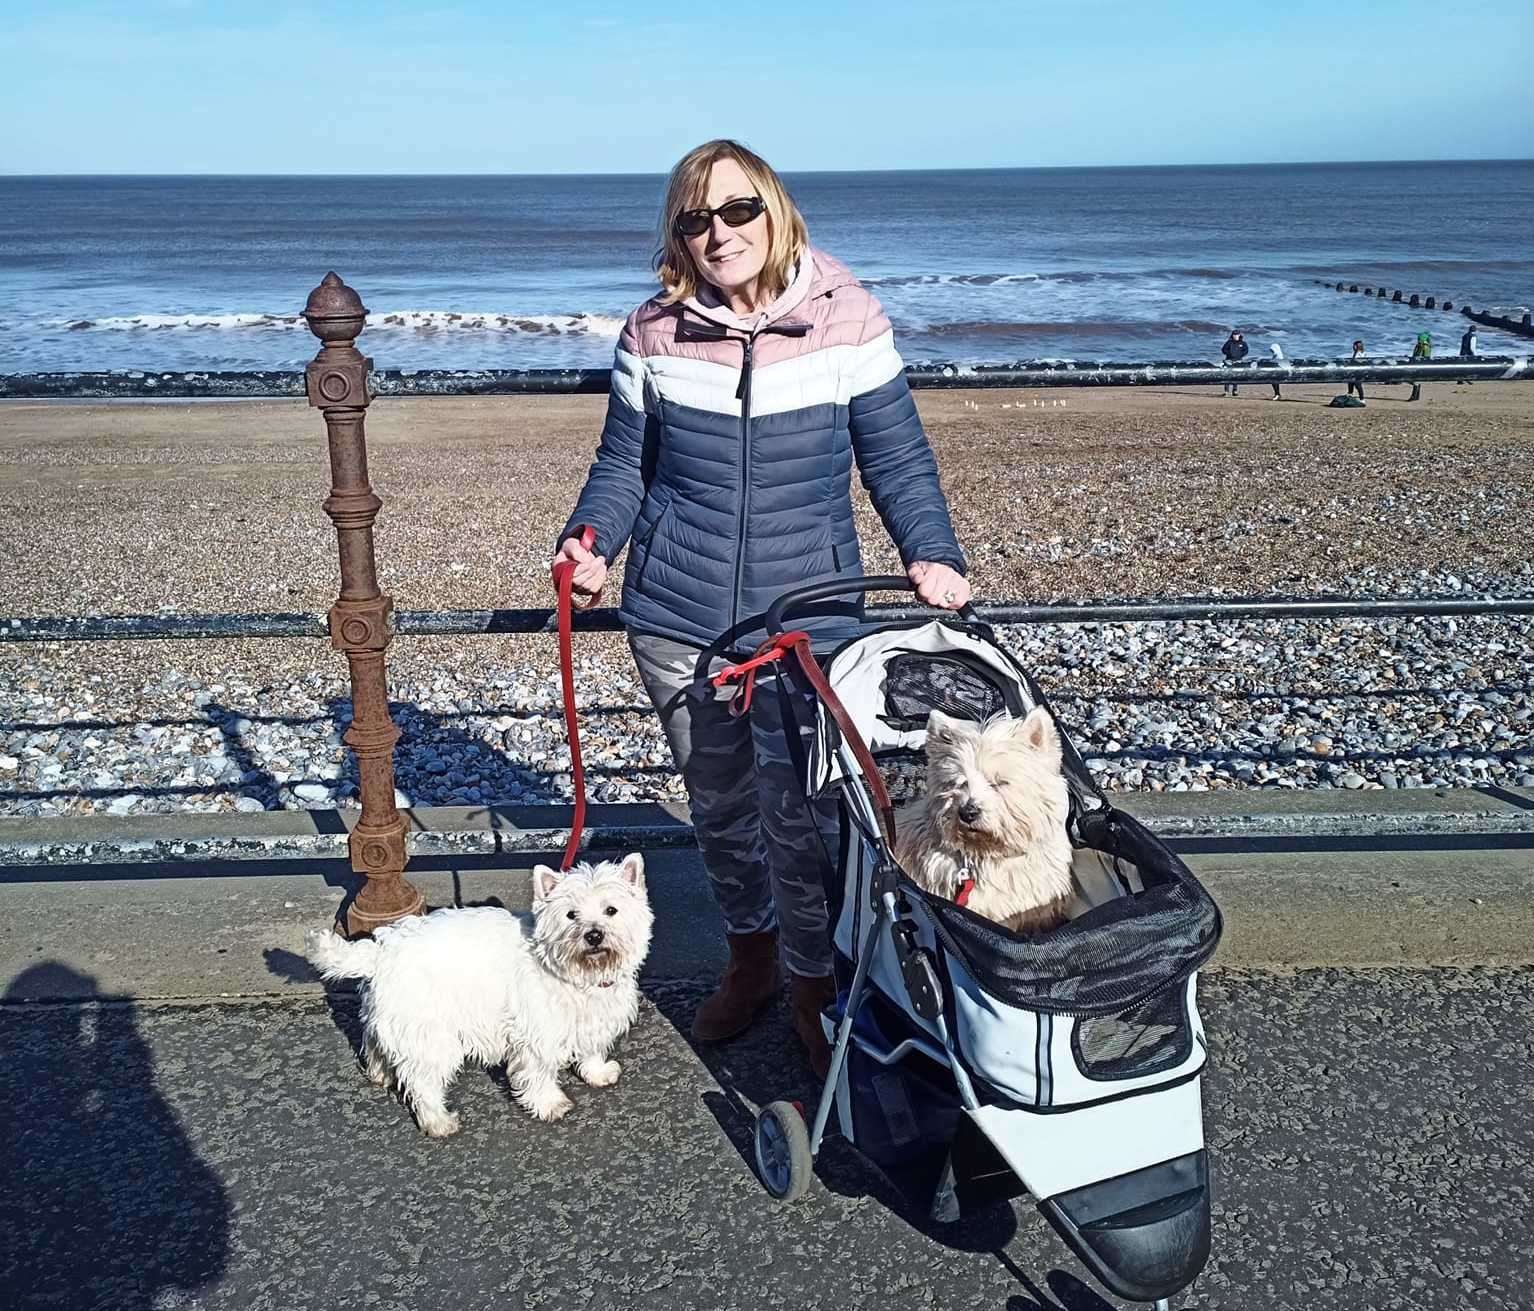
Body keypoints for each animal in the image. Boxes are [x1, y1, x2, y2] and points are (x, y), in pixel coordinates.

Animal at [305, 858, 653, 1134]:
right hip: (431, 1034)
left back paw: (380, 1074)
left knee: (376, 1042)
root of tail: (380, 950)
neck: (579, 976)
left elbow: (591, 1050)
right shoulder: (536, 1034)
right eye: (570, 915)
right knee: (423, 1083)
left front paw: (598, 1074)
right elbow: (539, 1073)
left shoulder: (593, 1020)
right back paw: (438, 1122)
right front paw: (549, 1104)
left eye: (611, 910)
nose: (593, 935)